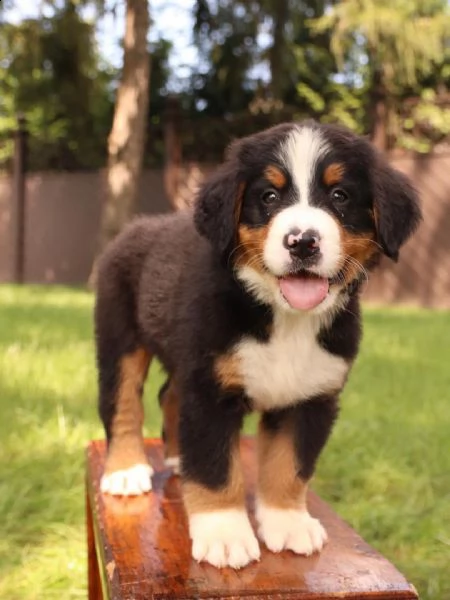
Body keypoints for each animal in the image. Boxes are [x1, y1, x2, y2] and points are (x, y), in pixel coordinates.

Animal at [95, 120, 422, 568]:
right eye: (269, 196)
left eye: (340, 196)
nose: (302, 241)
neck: (285, 319)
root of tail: (134, 227)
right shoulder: (210, 392)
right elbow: (216, 468)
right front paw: (224, 533)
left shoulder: (310, 396)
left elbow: (289, 465)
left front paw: (288, 523)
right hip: (121, 339)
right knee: (123, 403)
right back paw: (126, 471)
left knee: (169, 395)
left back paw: (177, 457)